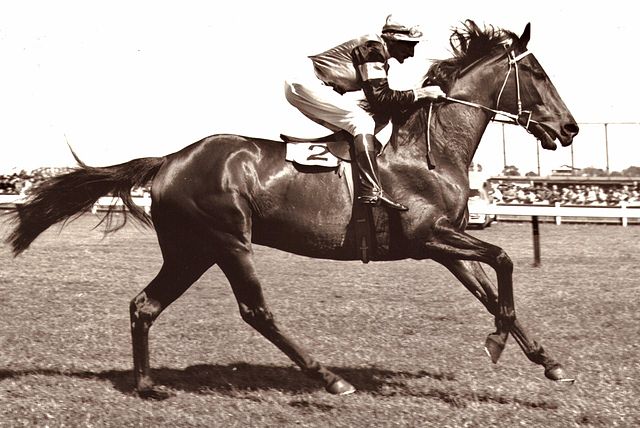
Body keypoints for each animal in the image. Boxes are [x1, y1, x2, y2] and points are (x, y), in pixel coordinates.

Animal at [3, 21, 580, 398]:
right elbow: (504, 260)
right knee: (256, 310)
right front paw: (499, 343)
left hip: (193, 250)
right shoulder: (429, 237)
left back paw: (147, 384)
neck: (428, 153)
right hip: (229, 240)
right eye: (538, 73)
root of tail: (170, 159)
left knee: (145, 305)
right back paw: (330, 378)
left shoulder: (444, 246)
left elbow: (492, 291)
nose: (571, 128)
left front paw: (547, 361)